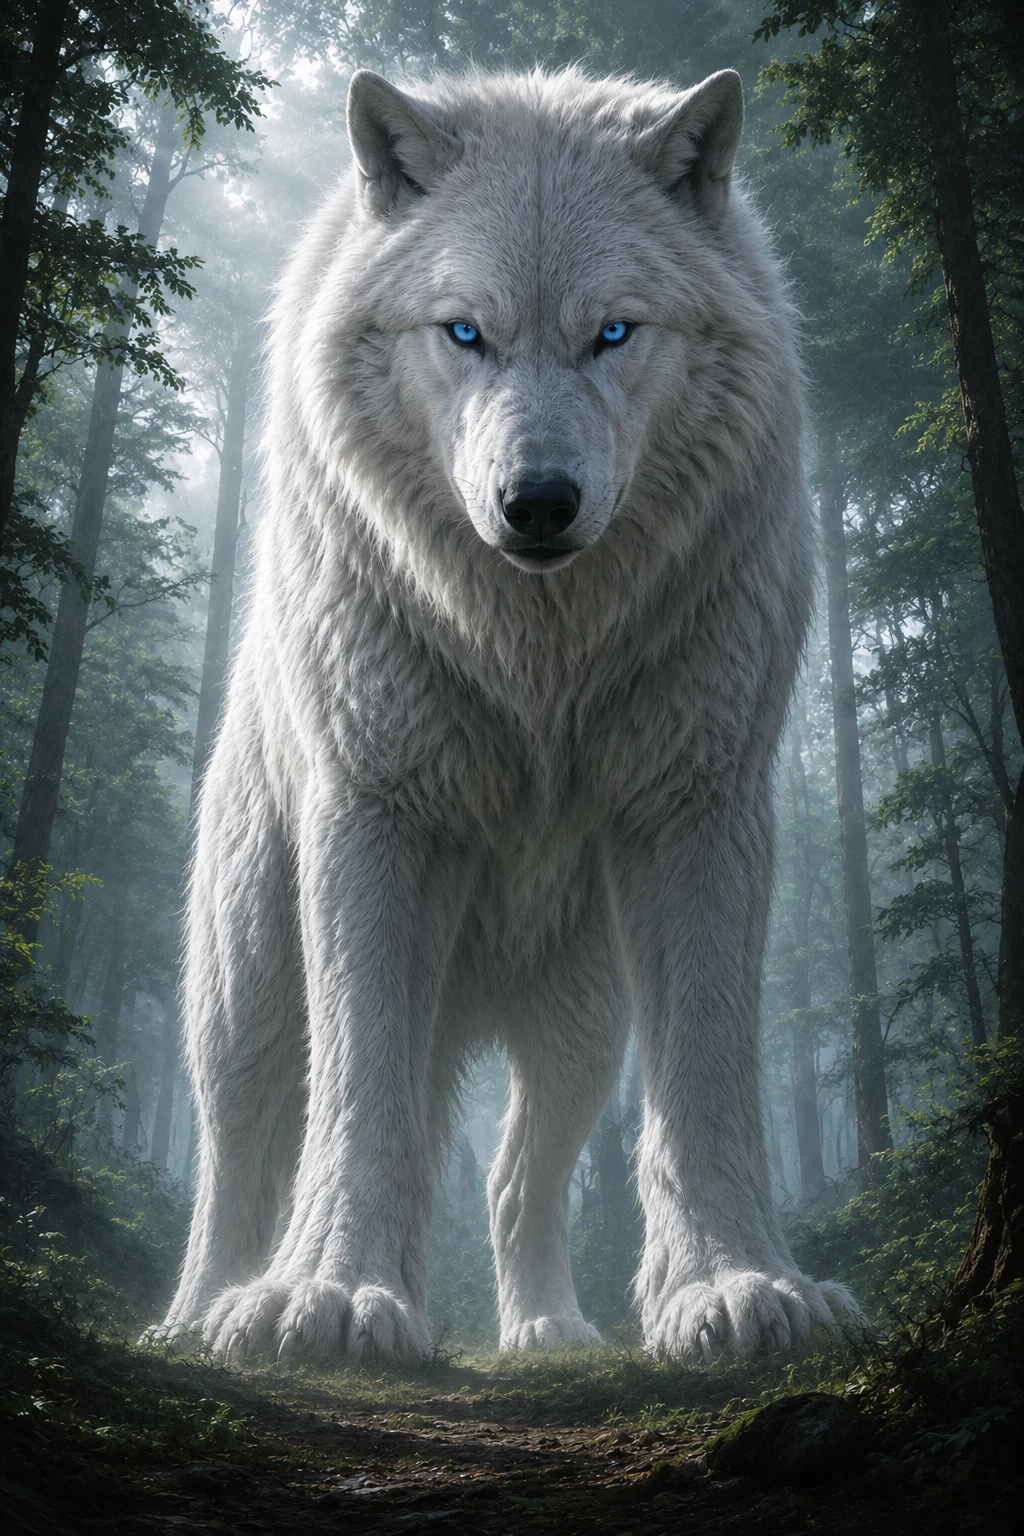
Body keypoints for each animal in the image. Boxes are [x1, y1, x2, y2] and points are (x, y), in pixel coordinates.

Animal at [157, 66, 861, 1365]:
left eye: (614, 331)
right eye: (464, 331)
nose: (537, 502)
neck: (537, 659)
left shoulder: (699, 815)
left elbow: (709, 1081)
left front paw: (739, 1287)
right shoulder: (375, 819)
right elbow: (359, 1090)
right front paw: (326, 1297)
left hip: (578, 1026)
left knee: (512, 1177)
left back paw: (547, 1329)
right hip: (248, 985)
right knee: (241, 1149)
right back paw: (197, 1315)